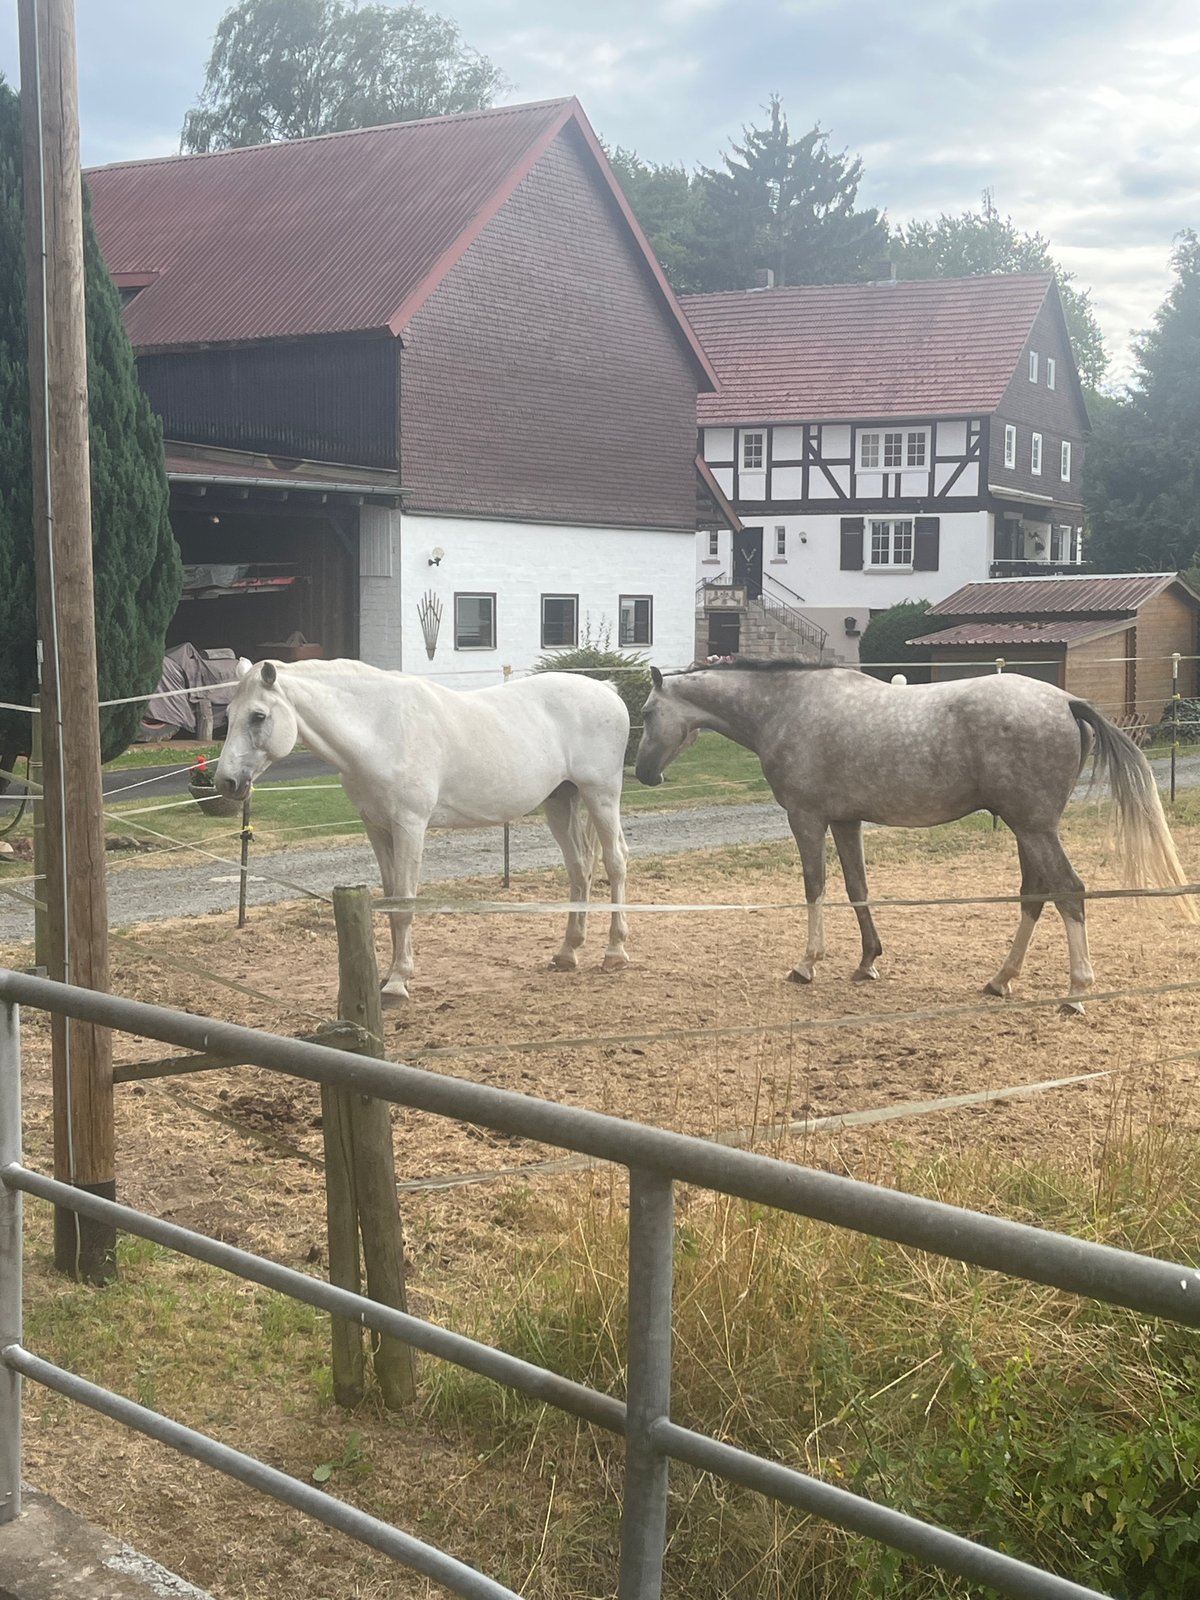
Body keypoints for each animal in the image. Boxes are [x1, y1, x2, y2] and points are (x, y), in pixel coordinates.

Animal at [215, 660, 631, 1005]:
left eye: (258, 716)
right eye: (229, 715)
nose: (226, 782)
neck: (379, 729)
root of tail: (607, 690)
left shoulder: (410, 826)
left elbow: (405, 903)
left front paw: (398, 983)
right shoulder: (377, 828)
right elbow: (390, 901)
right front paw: (386, 978)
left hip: (601, 795)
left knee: (615, 863)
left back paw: (615, 953)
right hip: (561, 801)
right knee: (579, 869)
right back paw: (568, 952)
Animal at [634, 659, 1195, 1010]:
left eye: (645, 712)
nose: (643, 774)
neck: (787, 707)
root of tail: (1067, 702)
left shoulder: (807, 818)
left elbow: (815, 887)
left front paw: (807, 964)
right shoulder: (846, 820)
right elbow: (856, 888)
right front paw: (867, 963)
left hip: (1035, 829)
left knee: (1069, 892)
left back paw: (1076, 993)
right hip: (1028, 830)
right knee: (1034, 895)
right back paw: (1001, 980)